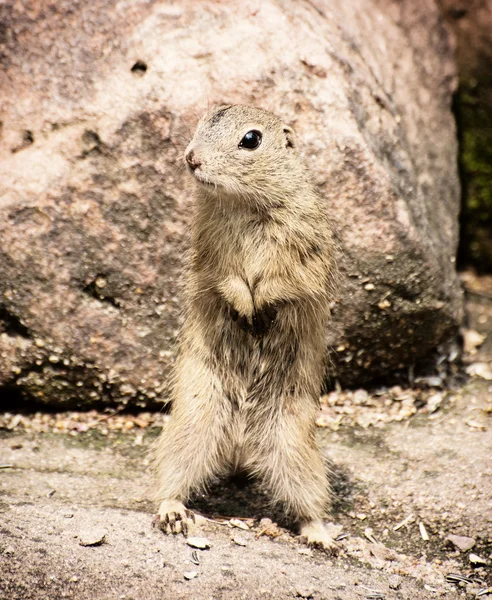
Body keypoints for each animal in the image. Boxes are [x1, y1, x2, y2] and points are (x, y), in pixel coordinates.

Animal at [153, 105, 338, 552]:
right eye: (202, 121)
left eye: (250, 139)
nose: (191, 158)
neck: (243, 203)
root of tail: (240, 448)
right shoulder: (213, 257)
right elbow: (230, 280)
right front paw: (244, 308)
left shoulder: (299, 256)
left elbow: (279, 283)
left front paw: (259, 311)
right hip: (192, 425)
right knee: (173, 477)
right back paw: (172, 514)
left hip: (293, 446)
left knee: (308, 502)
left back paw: (322, 537)